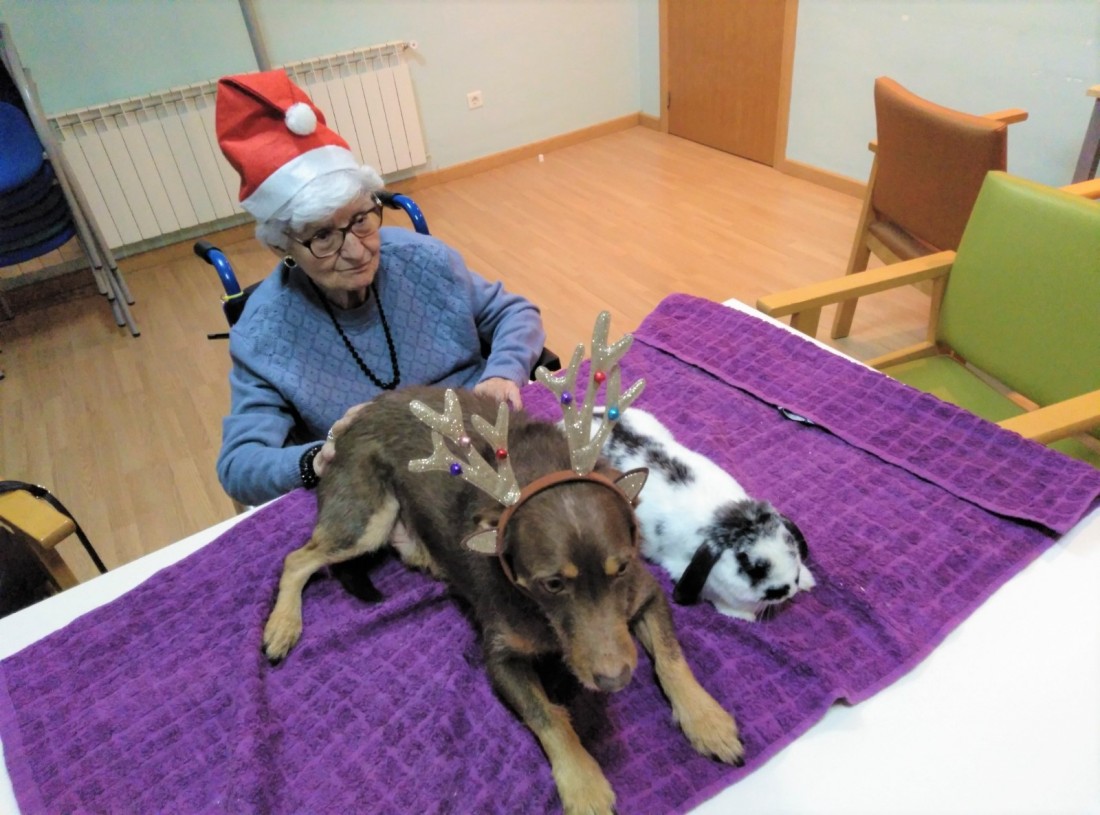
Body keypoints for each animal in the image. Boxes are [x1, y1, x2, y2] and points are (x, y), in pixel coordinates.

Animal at [262, 385, 744, 815]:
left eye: (622, 567)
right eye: (553, 584)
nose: (615, 680)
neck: (540, 614)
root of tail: (359, 416)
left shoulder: (646, 594)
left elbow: (671, 657)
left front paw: (708, 722)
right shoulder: (500, 658)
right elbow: (548, 717)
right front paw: (583, 784)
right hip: (367, 519)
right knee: (297, 558)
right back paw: (282, 627)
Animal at [599, 408, 815, 621]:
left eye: (791, 546)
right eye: (751, 567)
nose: (788, 589)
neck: (725, 519)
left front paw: (807, 581)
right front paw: (745, 616)